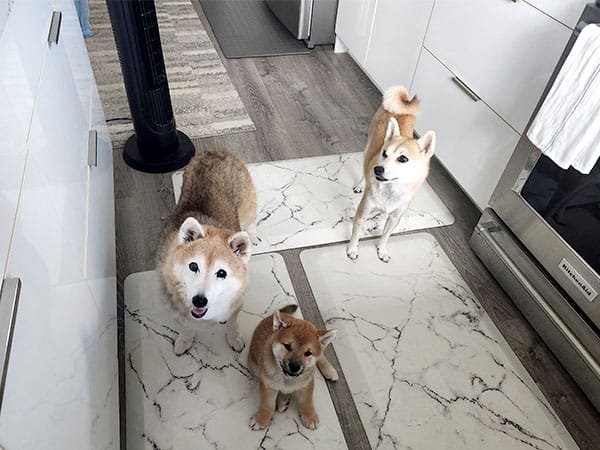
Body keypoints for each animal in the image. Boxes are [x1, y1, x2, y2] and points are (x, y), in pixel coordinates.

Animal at [156, 150, 256, 356]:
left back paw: (254, 234)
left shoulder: (236, 304)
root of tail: (216, 151)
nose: (199, 301)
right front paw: (185, 340)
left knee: (250, 220)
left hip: (247, 208)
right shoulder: (179, 310)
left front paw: (234, 338)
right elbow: (186, 326)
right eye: (193, 266)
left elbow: (232, 324)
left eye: (222, 273)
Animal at [346, 86, 436, 262]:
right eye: (384, 153)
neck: (392, 189)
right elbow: (356, 234)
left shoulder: (395, 218)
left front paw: (382, 250)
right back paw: (361, 184)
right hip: (367, 149)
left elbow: (386, 235)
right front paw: (352, 249)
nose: (377, 169)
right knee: (364, 168)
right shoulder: (362, 213)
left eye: (403, 159)